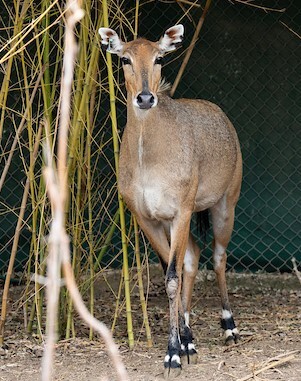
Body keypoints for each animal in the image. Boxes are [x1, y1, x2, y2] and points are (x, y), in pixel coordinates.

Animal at [99, 25, 243, 378]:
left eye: (159, 58)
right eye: (124, 59)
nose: (145, 97)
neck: (148, 157)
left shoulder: (182, 210)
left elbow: (173, 278)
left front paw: (173, 356)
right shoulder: (146, 217)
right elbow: (170, 272)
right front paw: (185, 343)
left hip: (225, 204)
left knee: (217, 257)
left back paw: (229, 327)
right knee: (192, 256)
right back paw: (190, 331)